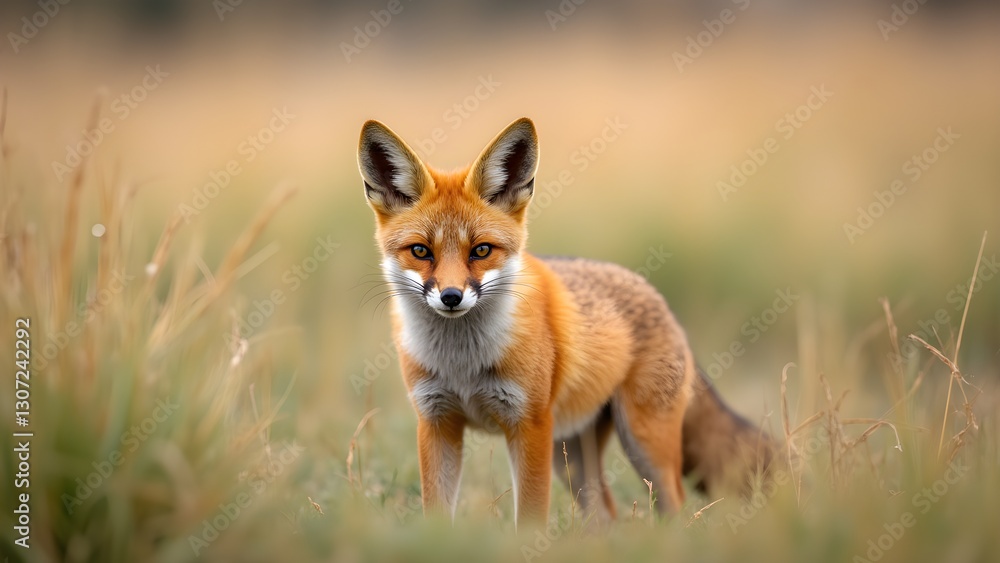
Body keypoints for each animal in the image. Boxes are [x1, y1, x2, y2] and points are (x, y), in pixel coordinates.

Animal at [358, 117, 774, 528]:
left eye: (481, 250)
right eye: (420, 251)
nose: (451, 297)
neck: (463, 364)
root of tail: (660, 299)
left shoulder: (529, 424)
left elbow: (529, 519)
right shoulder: (436, 422)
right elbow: (437, 514)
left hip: (643, 444)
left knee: (676, 506)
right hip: (570, 455)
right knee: (606, 513)